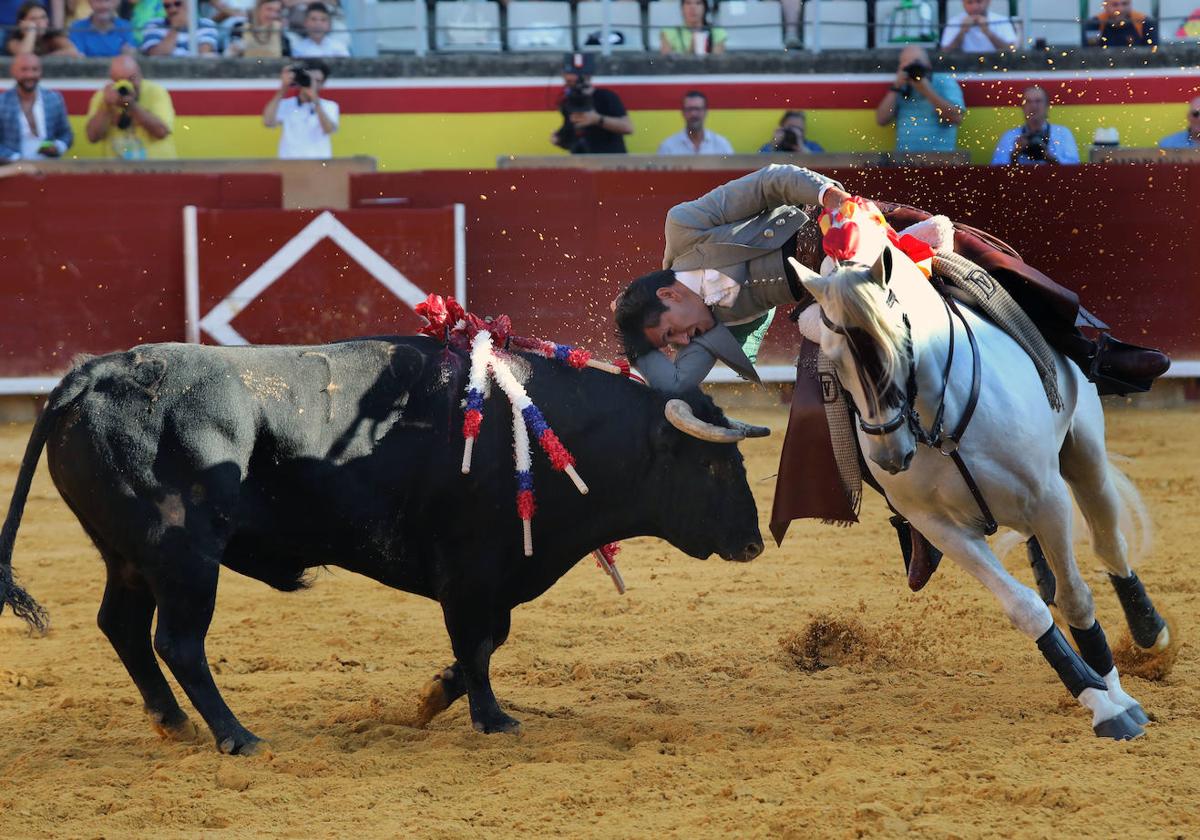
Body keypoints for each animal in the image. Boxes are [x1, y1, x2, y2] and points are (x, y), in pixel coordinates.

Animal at [0, 338, 763, 753]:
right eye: (715, 464)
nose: (755, 541)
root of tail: (96, 371)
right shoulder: (471, 569)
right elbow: (478, 642)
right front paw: (492, 719)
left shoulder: (491, 578)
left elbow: (485, 641)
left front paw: (432, 699)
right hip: (184, 553)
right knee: (178, 642)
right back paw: (236, 736)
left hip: (129, 556)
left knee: (123, 628)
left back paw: (173, 723)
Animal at [796, 208, 1171, 739]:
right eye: (832, 358)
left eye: (900, 341)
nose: (888, 454)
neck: (941, 423)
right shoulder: (940, 527)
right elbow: (1025, 608)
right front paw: (1100, 702)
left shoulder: (1049, 498)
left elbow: (1077, 598)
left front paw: (1117, 696)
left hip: (1085, 452)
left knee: (1108, 545)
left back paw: (1149, 631)